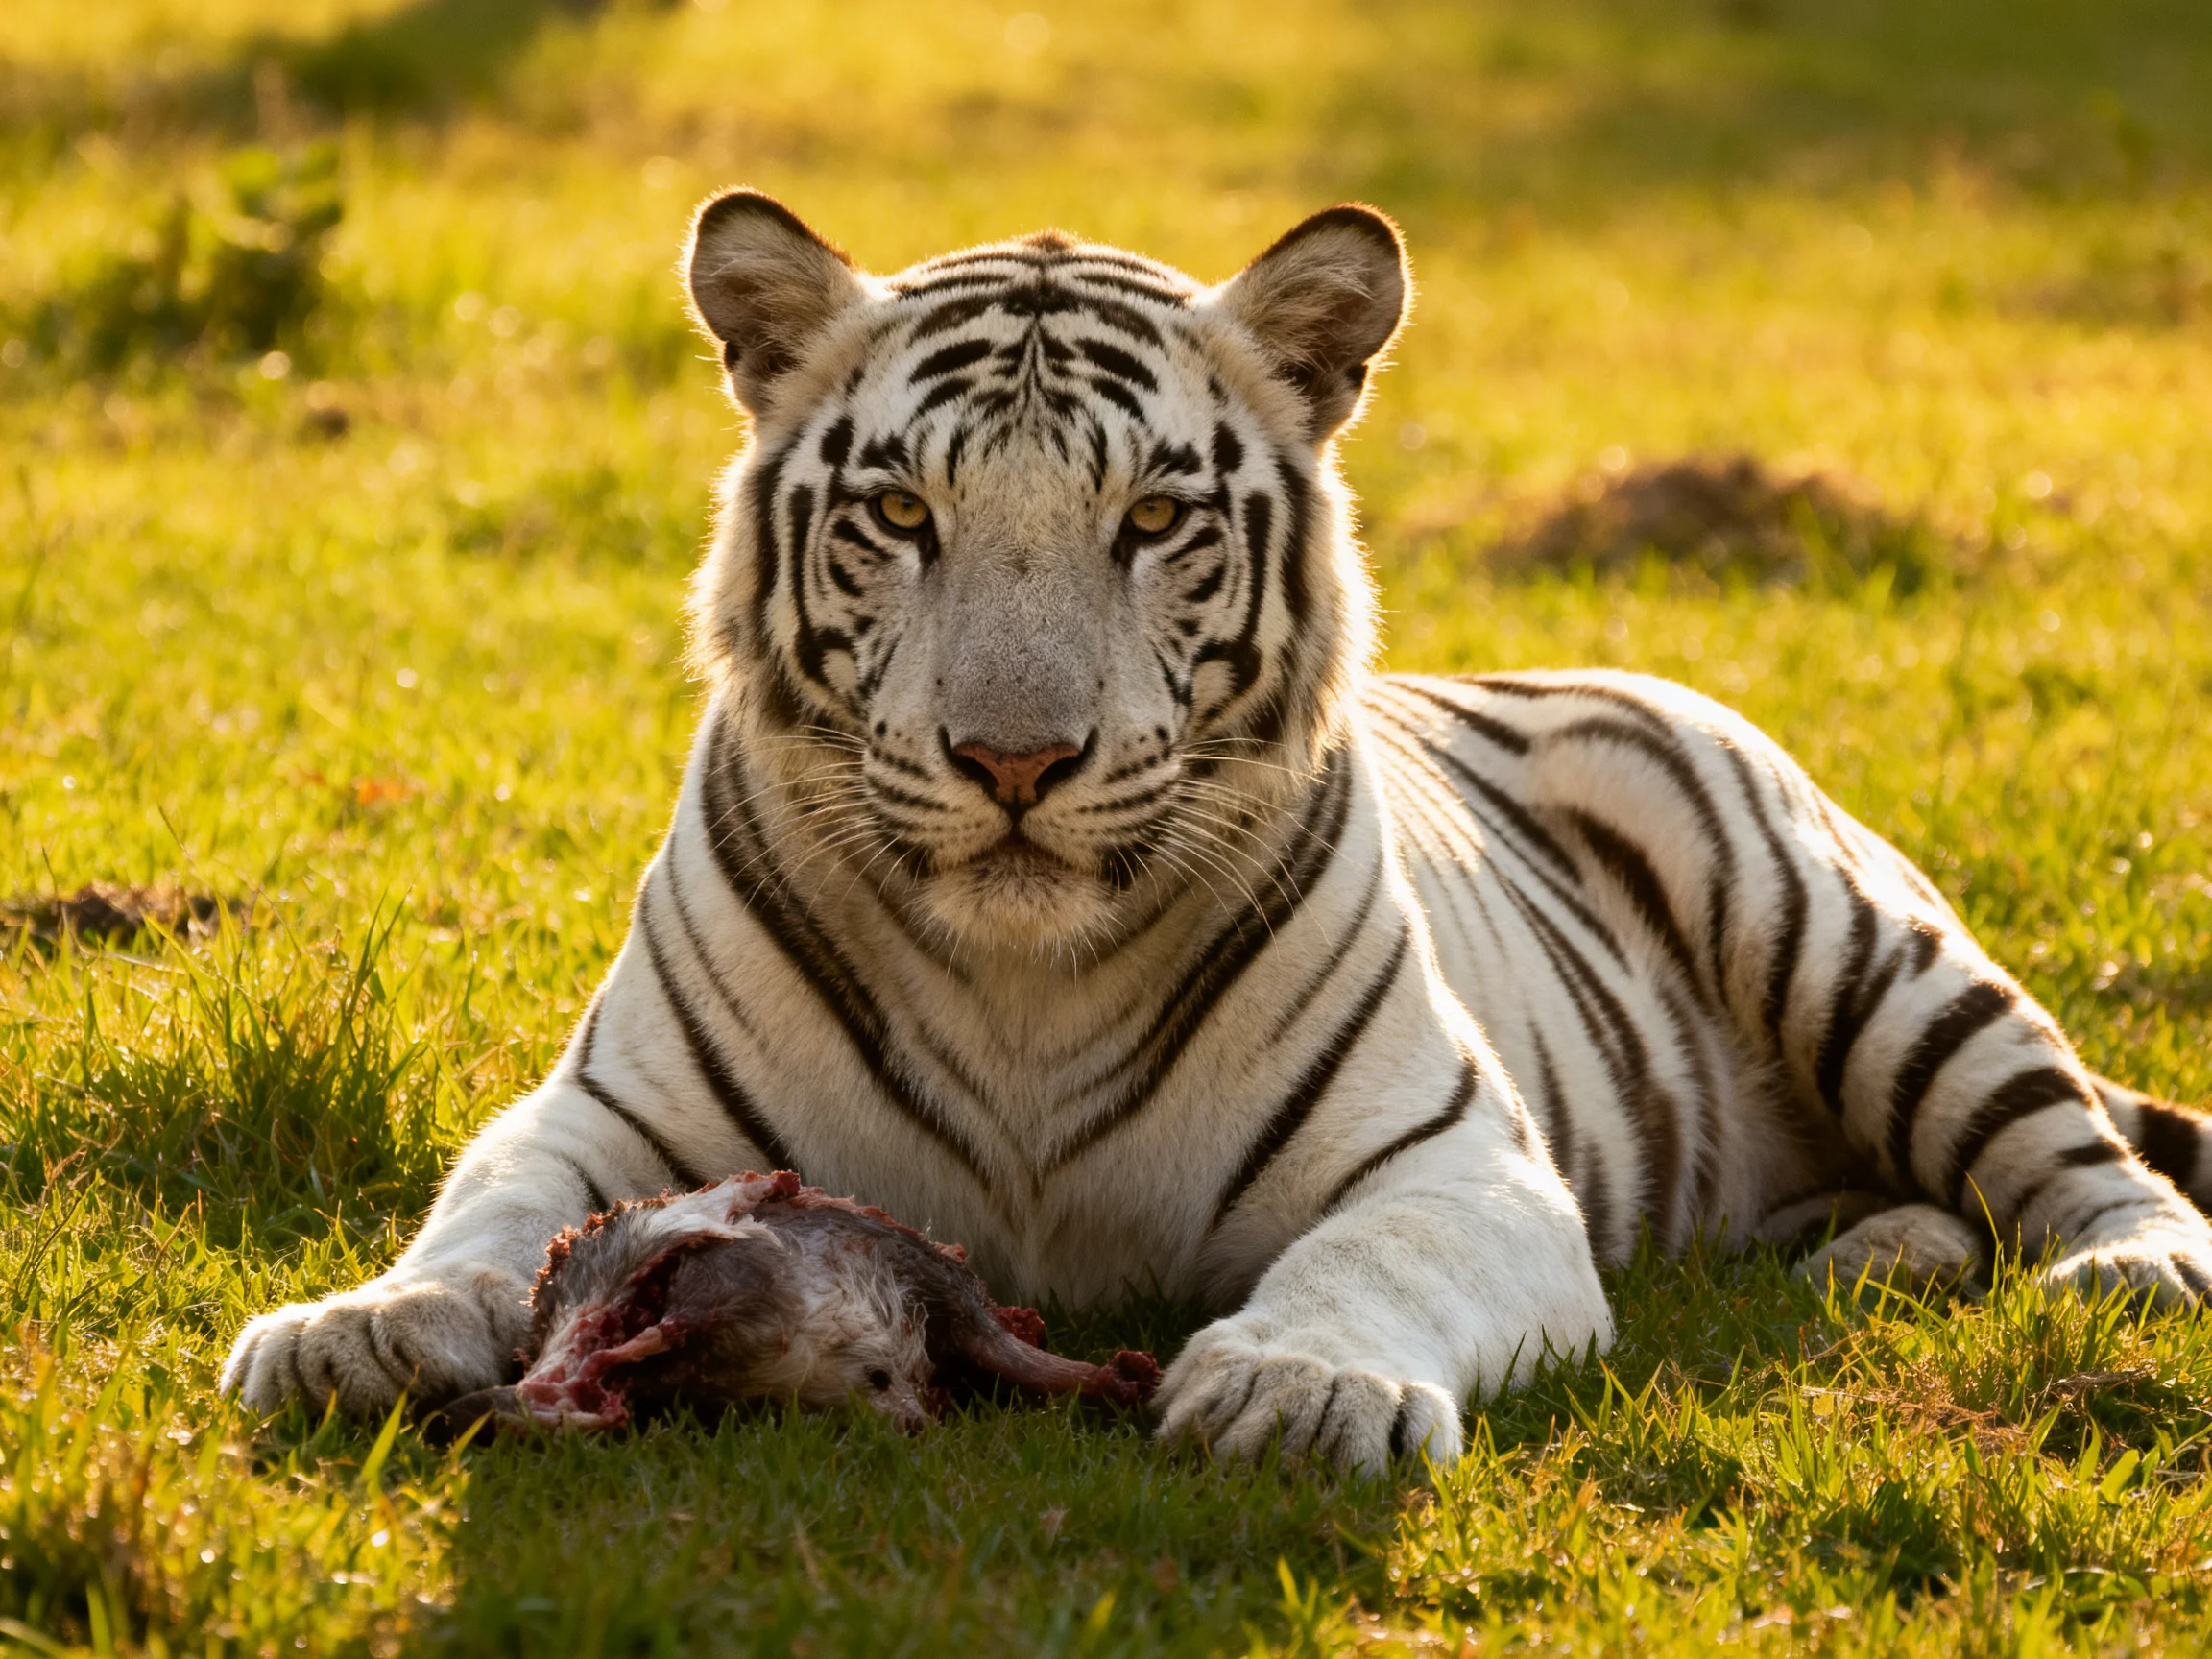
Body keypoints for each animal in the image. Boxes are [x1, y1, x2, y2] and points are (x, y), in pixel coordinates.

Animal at [221, 190, 2212, 1471]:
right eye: (899, 512)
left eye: (1154, 517)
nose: (1012, 757)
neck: (1016, 981)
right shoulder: (605, 1114)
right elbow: (491, 1216)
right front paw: (359, 1322)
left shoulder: (1447, 1164)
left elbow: (1360, 1264)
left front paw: (1297, 1387)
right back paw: (1877, 1252)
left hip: (1845, 935)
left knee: (2058, 1136)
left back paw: (2128, 1266)